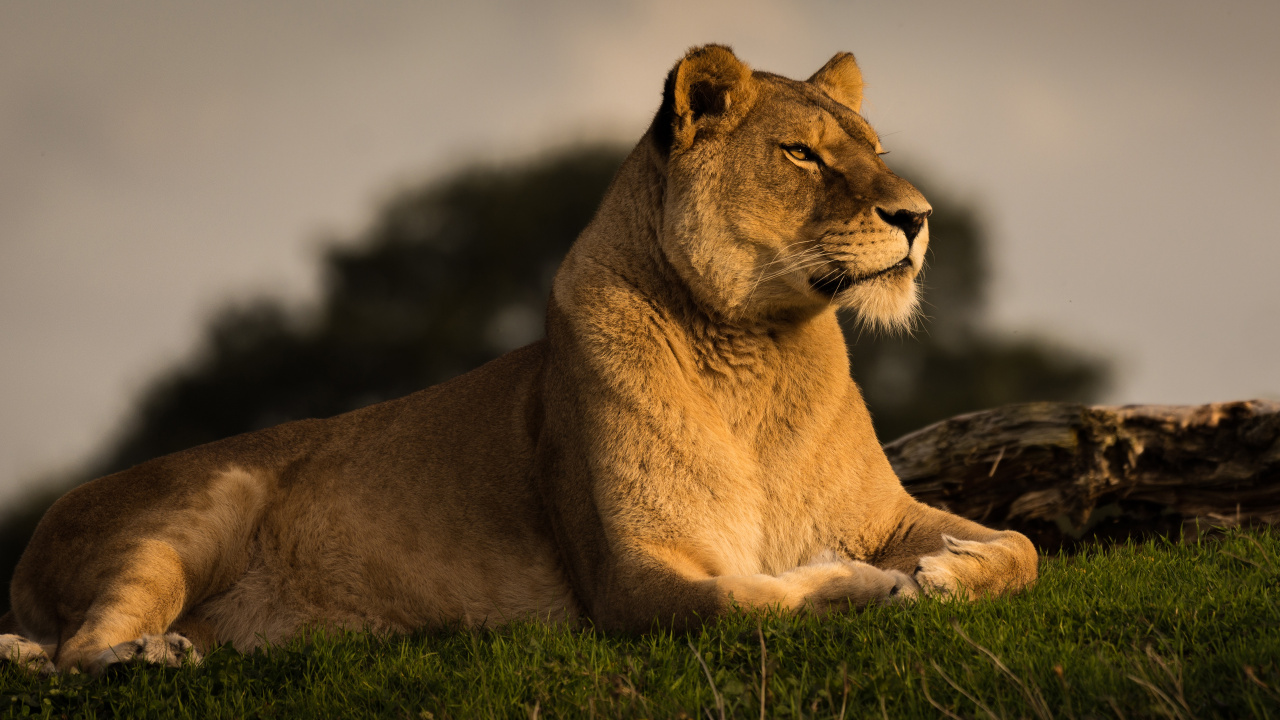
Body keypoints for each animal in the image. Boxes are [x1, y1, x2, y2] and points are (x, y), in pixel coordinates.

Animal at [0, 45, 1037, 675]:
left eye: (873, 149)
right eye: (803, 156)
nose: (919, 218)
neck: (758, 349)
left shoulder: (884, 513)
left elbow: (1021, 549)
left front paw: (947, 571)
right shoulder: (629, 576)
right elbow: (749, 602)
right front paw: (869, 585)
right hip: (198, 505)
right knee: (71, 655)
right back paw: (142, 657)